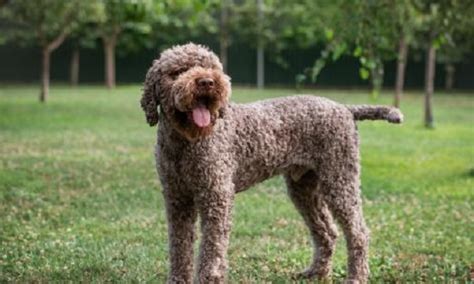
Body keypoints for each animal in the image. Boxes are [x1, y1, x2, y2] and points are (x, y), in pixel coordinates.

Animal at [141, 43, 404, 282]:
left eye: (211, 67)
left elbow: (212, 252)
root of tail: (345, 108)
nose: (207, 82)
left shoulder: (216, 197)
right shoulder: (177, 200)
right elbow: (180, 249)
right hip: (304, 189)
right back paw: (316, 273)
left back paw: (356, 277)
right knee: (327, 232)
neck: (184, 144)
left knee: (358, 233)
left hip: (340, 181)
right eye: (178, 71)